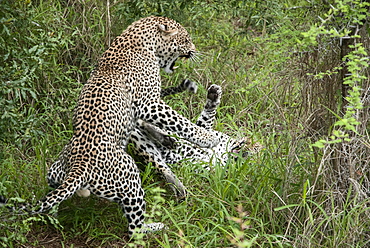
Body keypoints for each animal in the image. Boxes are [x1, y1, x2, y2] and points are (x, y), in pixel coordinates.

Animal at [0, 15, 223, 236]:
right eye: (186, 39)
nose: (194, 50)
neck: (143, 42)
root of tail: (78, 168)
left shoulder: (138, 110)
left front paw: (169, 139)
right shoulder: (148, 104)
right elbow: (179, 122)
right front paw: (208, 138)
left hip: (56, 170)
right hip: (129, 173)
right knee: (133, 229)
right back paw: (155, 226)